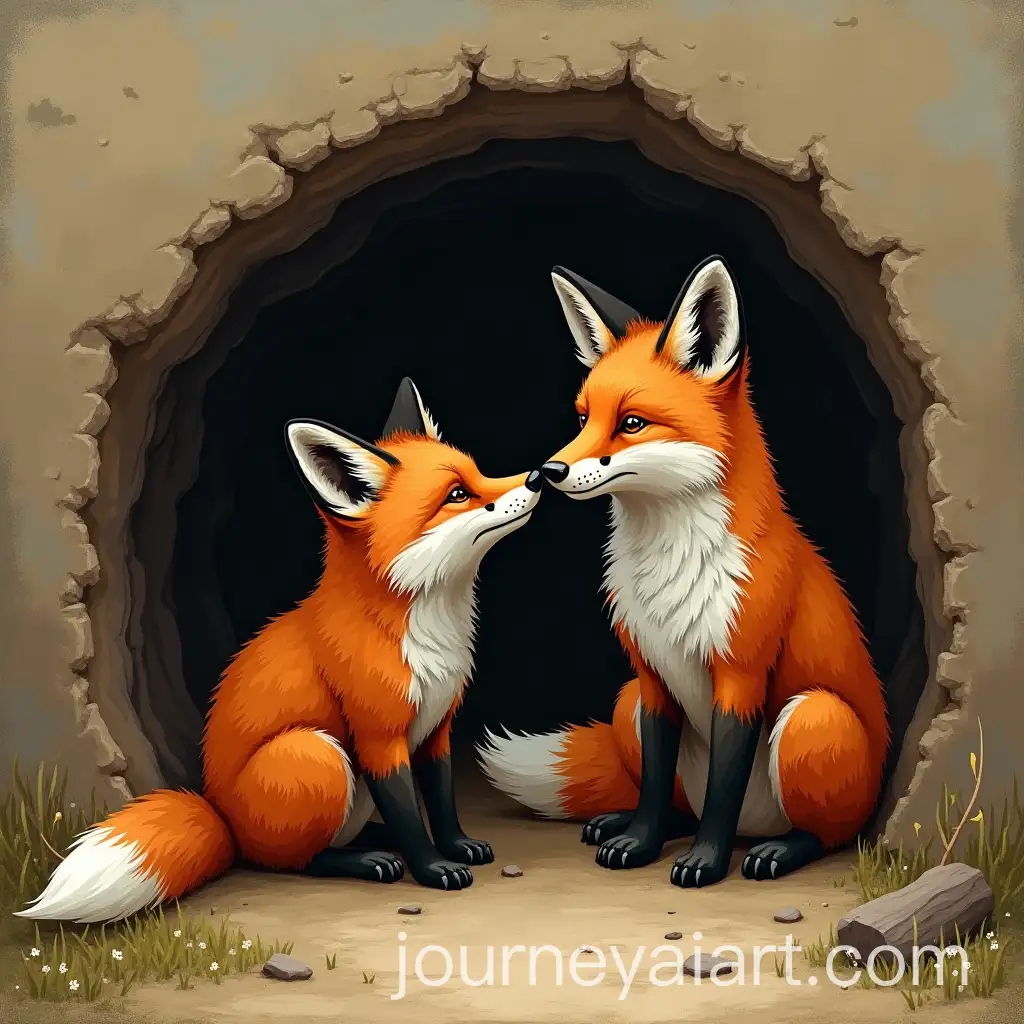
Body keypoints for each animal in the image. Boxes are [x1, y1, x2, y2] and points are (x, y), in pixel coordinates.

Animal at [17, 378, 544, 923]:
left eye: (480, 471)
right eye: (458, 494)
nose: (537, 476)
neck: (424, 631)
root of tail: (224, 820)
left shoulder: (437, 728)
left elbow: (439, 803)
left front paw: (458, 845)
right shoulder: (379, 736)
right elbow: (409, 815)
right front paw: (434, 868)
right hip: (317, 753)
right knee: (294, 860)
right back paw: (367, 859)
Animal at [478, 256, 889, 888]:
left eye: (632, 422)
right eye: (583, 417)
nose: (547, 472)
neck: (669, 571)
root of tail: (755, 830)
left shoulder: (740, 676)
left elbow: (723, 791)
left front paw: (706, 863)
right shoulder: (650, 677)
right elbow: (652, 785)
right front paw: (640, 842)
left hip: (813, 716)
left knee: (828, 834)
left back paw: (780, 851)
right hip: (625, 702)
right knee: (675, 803)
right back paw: (623, 824)